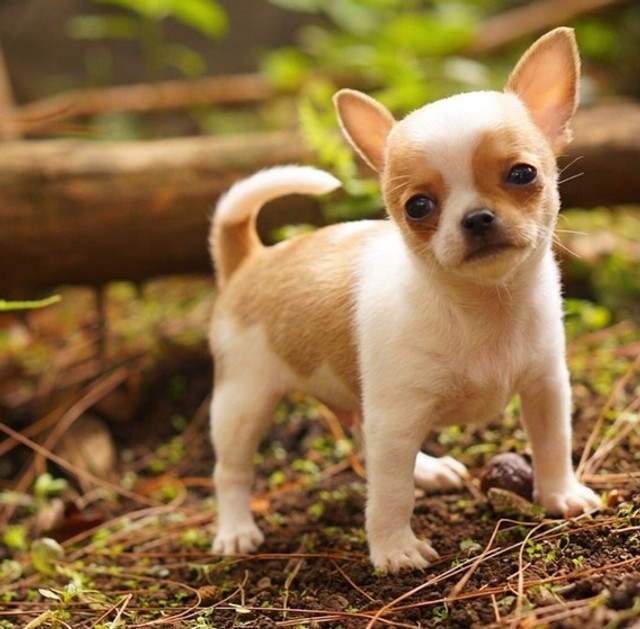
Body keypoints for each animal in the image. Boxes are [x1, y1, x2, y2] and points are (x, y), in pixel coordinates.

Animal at [209, 27, 600, 572]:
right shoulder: (396, 420)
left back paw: (430, 468)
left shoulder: (546, 387)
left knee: (361, 432)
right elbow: (390, 494)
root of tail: (251, 257)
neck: (484, 308)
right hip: (242, 400)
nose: (477, 218)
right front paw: (394, 548)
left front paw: (560, 494)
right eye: (418, 207)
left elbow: (552, 444)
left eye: (522, 175)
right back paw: (235, 530)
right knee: (231, 470)